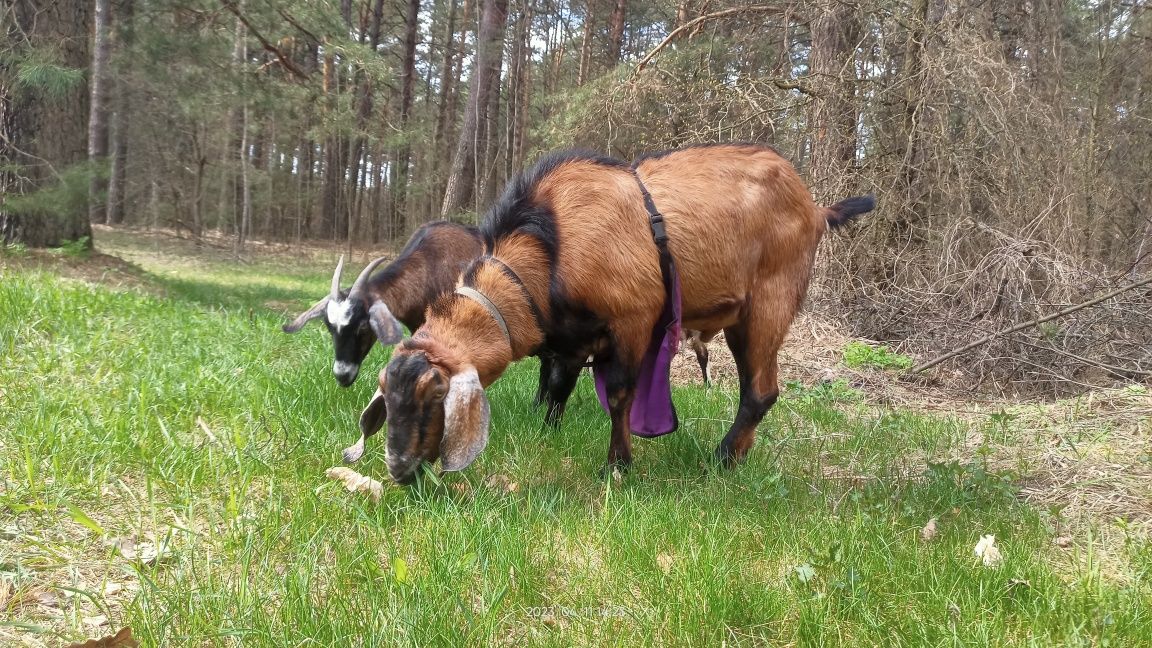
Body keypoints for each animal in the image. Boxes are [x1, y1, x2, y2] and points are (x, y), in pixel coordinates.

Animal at [359, 143, 870, 481]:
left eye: (435, 392)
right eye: (385, 387)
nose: (398, 469)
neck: (551, 244)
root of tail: (816, 209)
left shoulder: (633, 320)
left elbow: (622, 394)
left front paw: (618, 466)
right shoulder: (572, 338)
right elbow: (559, 386)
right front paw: (548, 433)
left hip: (767, 304)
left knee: (761, 392)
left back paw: (721, 460)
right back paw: (735, 456)